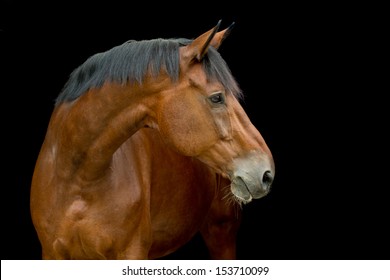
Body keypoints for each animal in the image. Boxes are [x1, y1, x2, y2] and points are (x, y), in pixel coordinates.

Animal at [29, 20, 274, 260]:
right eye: (217, 97)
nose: (266, 173)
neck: (77, 181)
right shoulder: (51, 254)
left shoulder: (132, 252)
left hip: (222, 231)